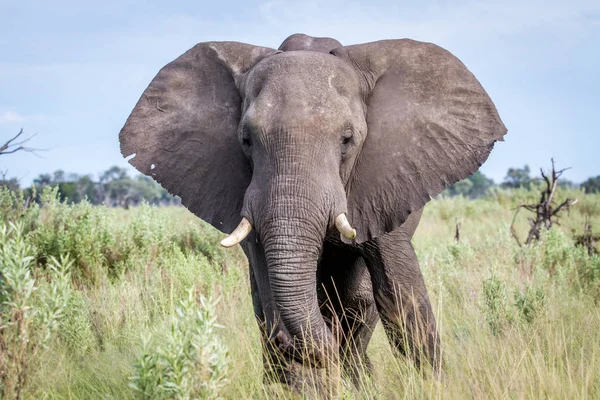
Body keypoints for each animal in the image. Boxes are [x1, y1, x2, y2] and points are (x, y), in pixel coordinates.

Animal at [120, 32, 506, 392]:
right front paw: (303, 386)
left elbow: (397, 295)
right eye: (246, 140)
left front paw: (433, 385)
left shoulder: (383, 182)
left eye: (348, 139)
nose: (324, 350)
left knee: (359, 299)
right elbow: (271, 295)